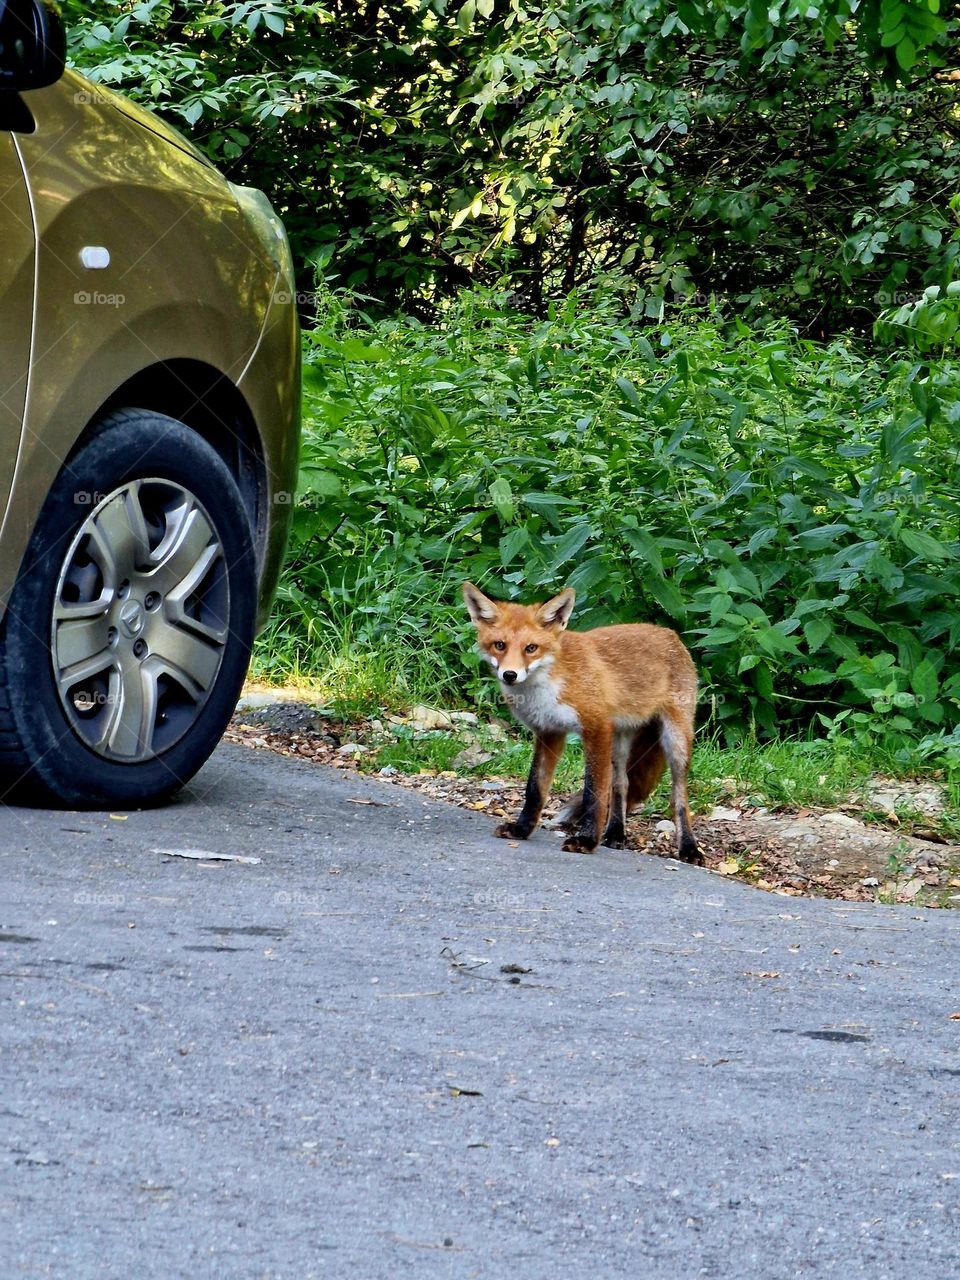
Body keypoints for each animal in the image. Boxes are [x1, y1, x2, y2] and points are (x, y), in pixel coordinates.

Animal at [463, 581, 701, 860]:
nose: (510, 674)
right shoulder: (549, 732)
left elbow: (593, 794)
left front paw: (586, 840)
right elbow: (535, 789)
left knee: (678, 797)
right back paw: (615, 834)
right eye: (499, 645)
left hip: (675, 739)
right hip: (619, 741)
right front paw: (522, 829)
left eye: (531, 648)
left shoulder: (595, 728)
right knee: (621, 785)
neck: (548, 684)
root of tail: (670, 634)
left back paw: (689, 847)